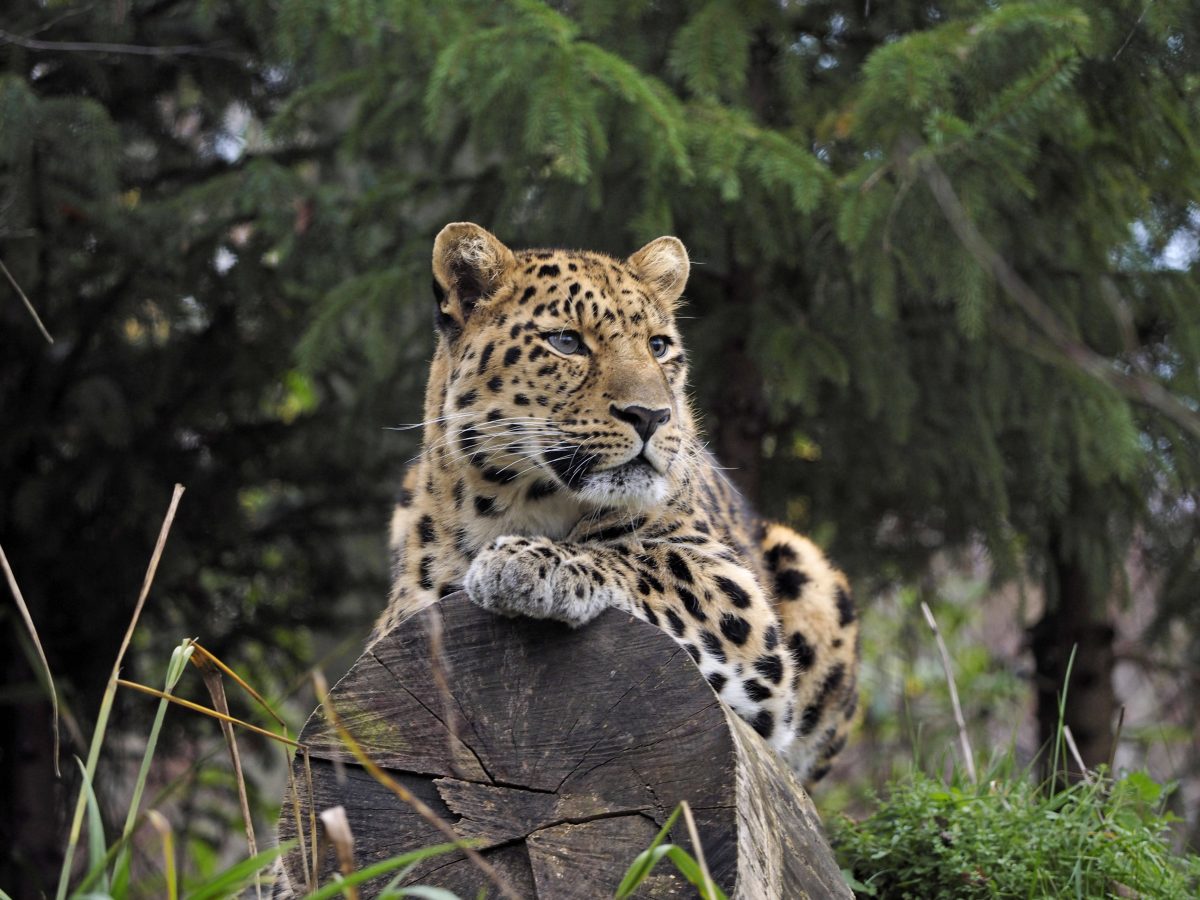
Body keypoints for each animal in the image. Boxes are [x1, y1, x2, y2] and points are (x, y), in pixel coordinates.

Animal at [369, 224, 859, 782]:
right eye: (566, 342)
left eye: (659, 346)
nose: (651, 416)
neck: (519, 505)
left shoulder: (733, 590)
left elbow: (644, 556)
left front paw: (528, 565)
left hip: (810, 570)